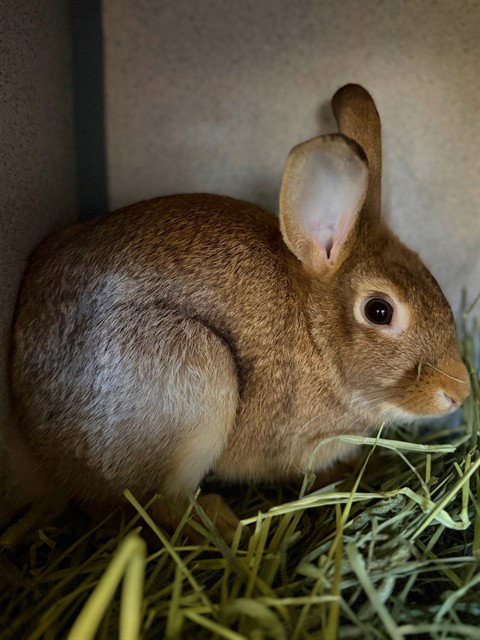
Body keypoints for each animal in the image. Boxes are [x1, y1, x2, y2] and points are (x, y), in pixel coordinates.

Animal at [9, 84, 470, 541]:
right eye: (379, 310)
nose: (459, 390)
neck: (314, 333)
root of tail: (38, 437)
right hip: (190, 372)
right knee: (157, 505)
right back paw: (235, 529)